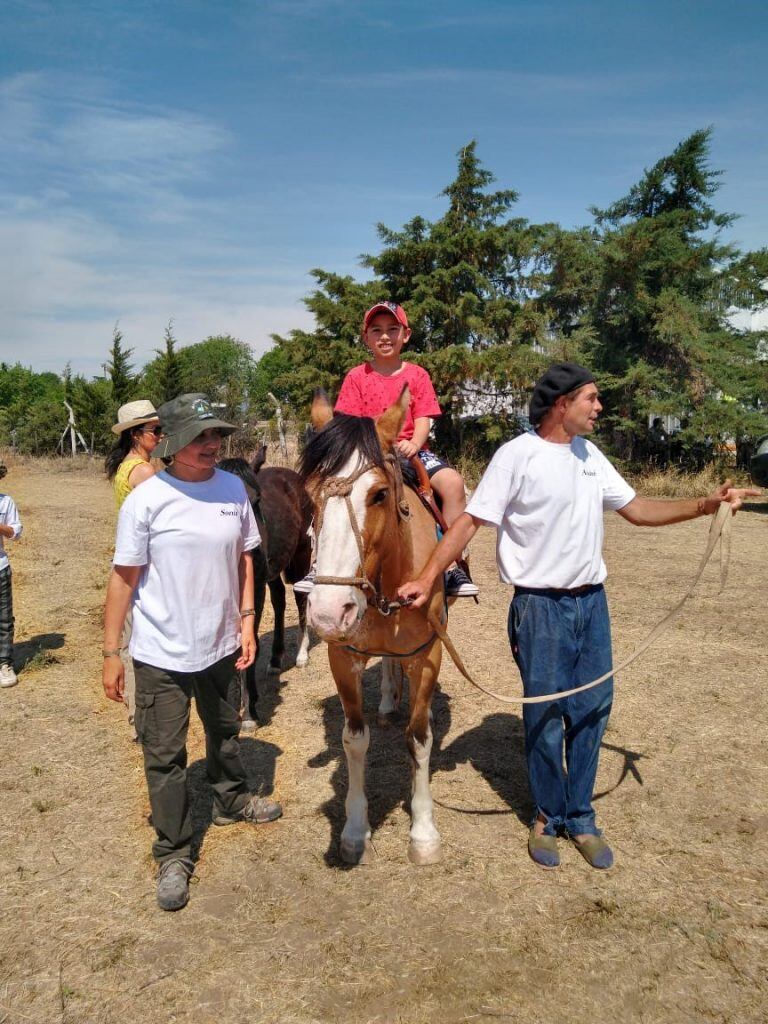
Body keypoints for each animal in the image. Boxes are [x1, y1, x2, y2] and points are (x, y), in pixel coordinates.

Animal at [217, 454, 313, 729]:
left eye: (256, 500)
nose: (253, 553)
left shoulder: (255, 589)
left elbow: (250, 643)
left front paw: (249, 712)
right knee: (279, 597)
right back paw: (275, 659)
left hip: (299, 556)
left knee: (301, 597)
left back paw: (301, 654)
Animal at [301, 389, 444, 864]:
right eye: (309, 496)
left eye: (379, 494)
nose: (329, 612)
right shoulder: (342, 658)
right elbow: (354, 740)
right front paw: (354, 830)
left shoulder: (429, 655)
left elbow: (419, 739)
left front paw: (423, 832)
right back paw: (385, 700)